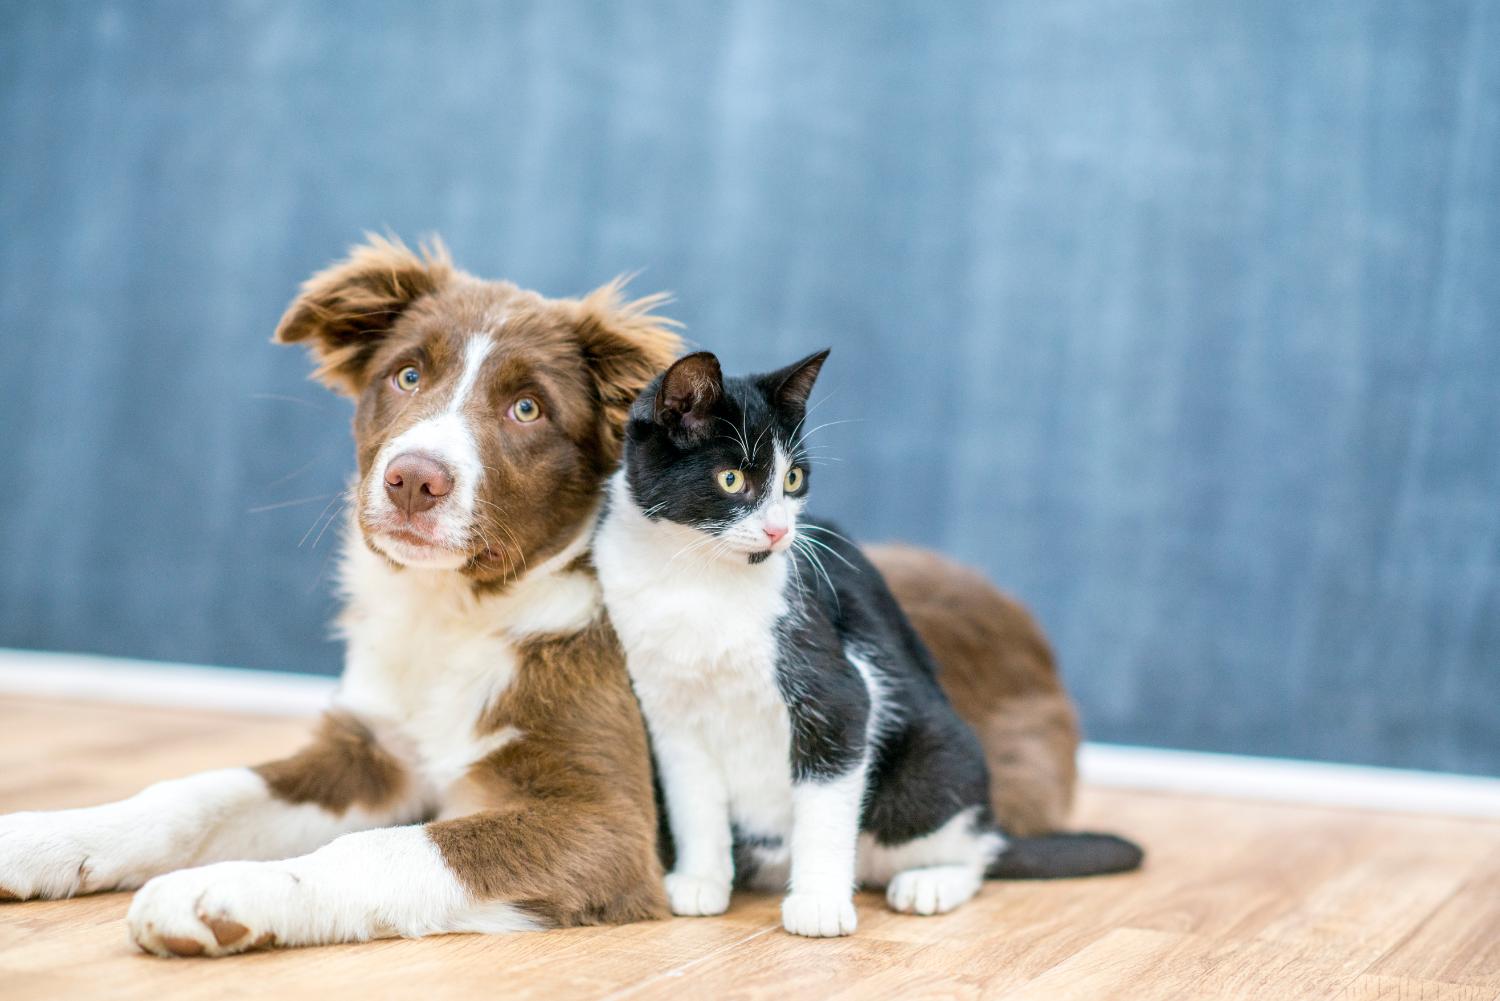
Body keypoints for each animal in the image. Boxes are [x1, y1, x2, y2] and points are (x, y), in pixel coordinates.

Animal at [594, 348, 1008, 936]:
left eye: (792, 478)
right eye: (731, 479)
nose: (777, 531)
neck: (696, 579)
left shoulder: (836, 691)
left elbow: (825, 801)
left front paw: (818, 902)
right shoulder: (667, 711)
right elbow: (693, 798)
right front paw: (700, 880)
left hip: (930, 768)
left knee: (977, 844)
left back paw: (931, 883)